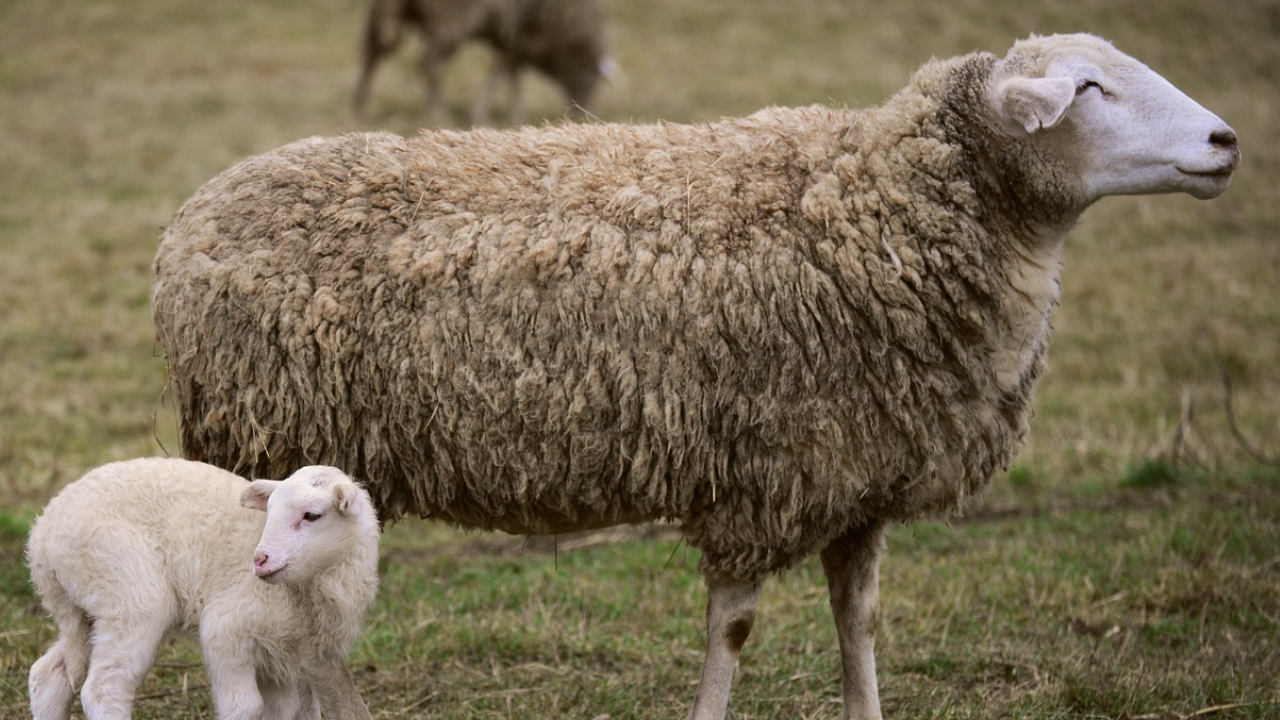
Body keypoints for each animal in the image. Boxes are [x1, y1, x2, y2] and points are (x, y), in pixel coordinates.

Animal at [26, 459, 380, 720]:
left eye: (312, 515)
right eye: (270, 511)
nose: (259, 560)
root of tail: (42, 535)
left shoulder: (284, 657)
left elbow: (285, 710)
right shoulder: (226, 630)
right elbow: (245, 707)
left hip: (82, 608)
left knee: (50, 674)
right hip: (128, 594)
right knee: (104, 689)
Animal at [152, 33, 1239, 720]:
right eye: (1087, 90)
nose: (1226, 141)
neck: (882, 211)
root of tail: (190, 218)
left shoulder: (857, 483)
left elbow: (857, 623)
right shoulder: (761, 480)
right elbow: (738, 633)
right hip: (267, 442)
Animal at [351, 0, 610, 125]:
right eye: (591, 79)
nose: (583, 116)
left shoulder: (513, 39)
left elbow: (507, 74)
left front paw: (506, 115)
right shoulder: (523, 36)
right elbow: (504, 72)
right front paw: (497, 115)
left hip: (389, 9)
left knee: (372, 51)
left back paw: (360, 110)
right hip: (450, 19)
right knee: (428, 65)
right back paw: (438, 114)